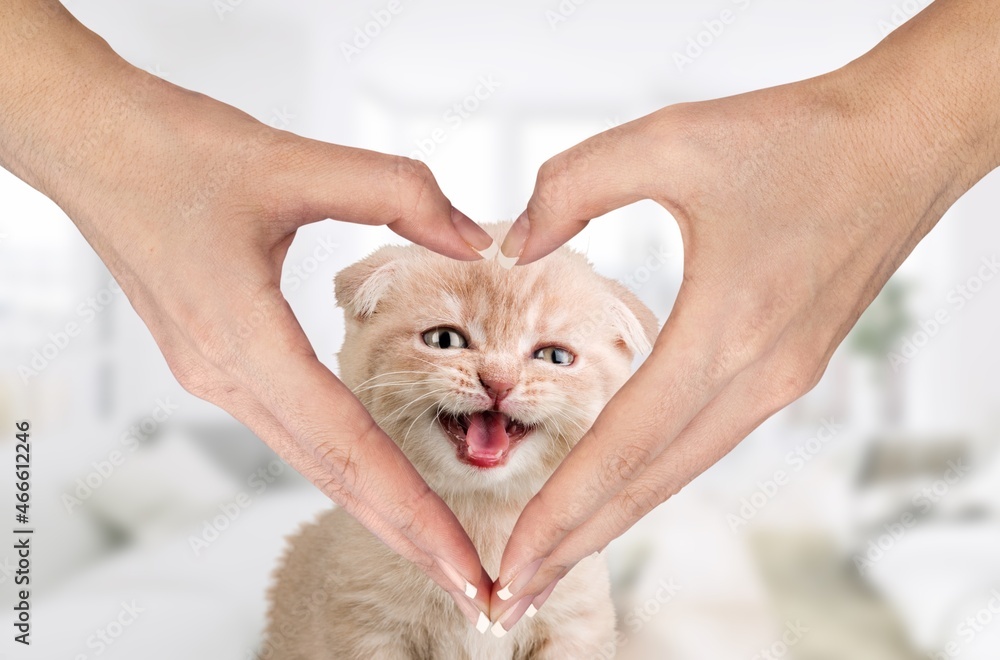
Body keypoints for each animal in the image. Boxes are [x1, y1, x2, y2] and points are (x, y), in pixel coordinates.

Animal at [262, 224, 660, 656]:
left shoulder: (578, 624)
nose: (499, 382)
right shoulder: (367, 625)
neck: (483, 516)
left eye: (555, 356)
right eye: (444, 340)